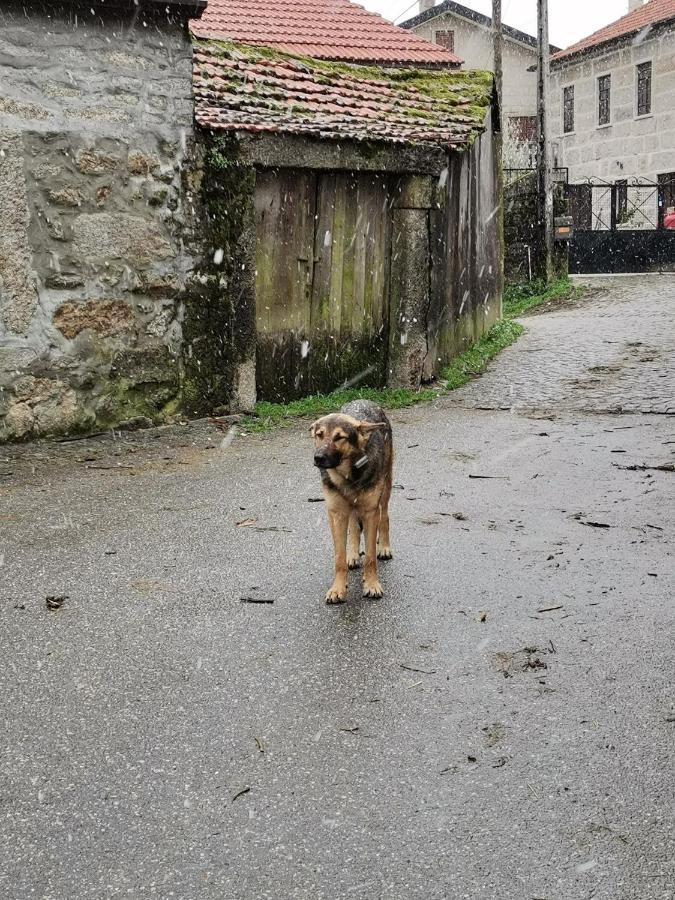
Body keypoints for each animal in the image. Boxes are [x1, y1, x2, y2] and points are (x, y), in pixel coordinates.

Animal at [308, 400, 394, 604]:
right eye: (319, 434)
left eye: (340, 437)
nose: (318, 458)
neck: (347, 475)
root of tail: (363, 400)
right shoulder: (336, 513)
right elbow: (339, 557)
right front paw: (337, 589)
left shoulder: (371, 512)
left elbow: (370, 556)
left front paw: (371, 585)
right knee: (354, 527)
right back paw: (353, 555)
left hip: (385, 487)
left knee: (385, 517)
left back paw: (384, 547)